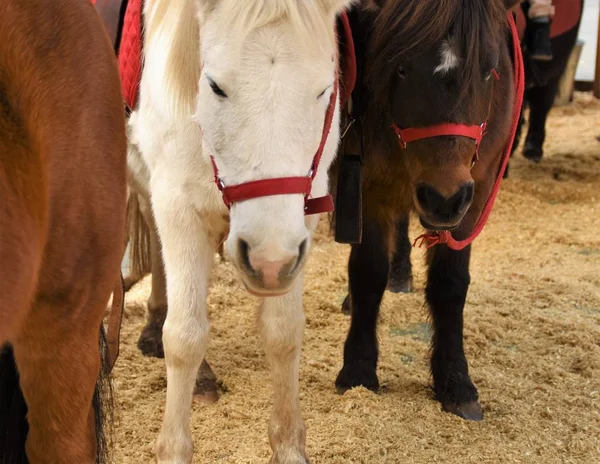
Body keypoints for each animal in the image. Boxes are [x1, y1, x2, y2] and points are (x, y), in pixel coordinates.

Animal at [126, 0, 352, 460]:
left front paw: (288, 446)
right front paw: (173, 449)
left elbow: (284, 332)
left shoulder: (303, 213)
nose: (269, 260)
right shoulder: (177, 206)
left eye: (323, 90)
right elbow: (185, 336)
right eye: (215, 86)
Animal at [336, 0, 524, 420]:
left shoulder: (475, 192)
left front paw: (455, 381)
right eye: (401, 67)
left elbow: (450, 284)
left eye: (489, 70)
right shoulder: (367, 186)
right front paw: (358, 369)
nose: (443, 198)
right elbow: (367, 274)